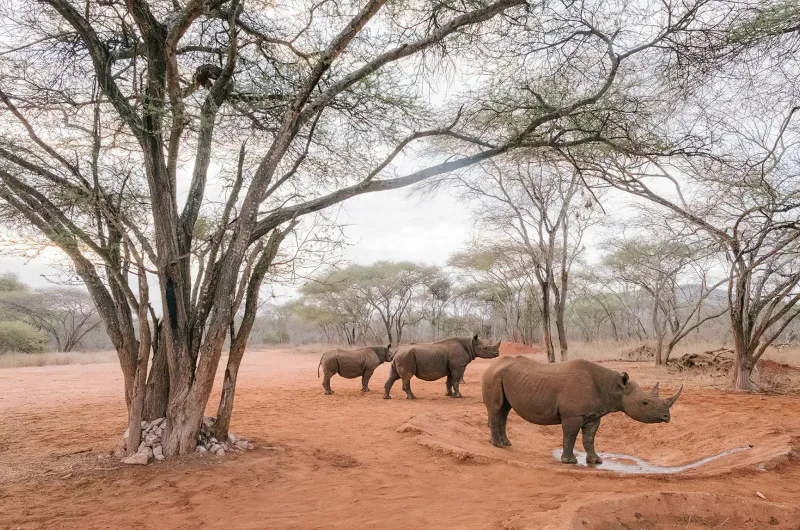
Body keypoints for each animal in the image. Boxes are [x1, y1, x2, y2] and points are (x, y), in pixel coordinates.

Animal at [481, 356, 682, 464]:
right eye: (645, 403)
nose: (667, 417)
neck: (614, 388)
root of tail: (491, 364)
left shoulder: (593, 414)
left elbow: (589, 438)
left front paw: (595, 461)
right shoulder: (573, 414)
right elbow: (570, 436)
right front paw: (569, 461)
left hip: (501, 376)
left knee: (504, 410)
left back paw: (506, 443)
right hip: (492, 376)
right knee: (497, 408)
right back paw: (498, 445)